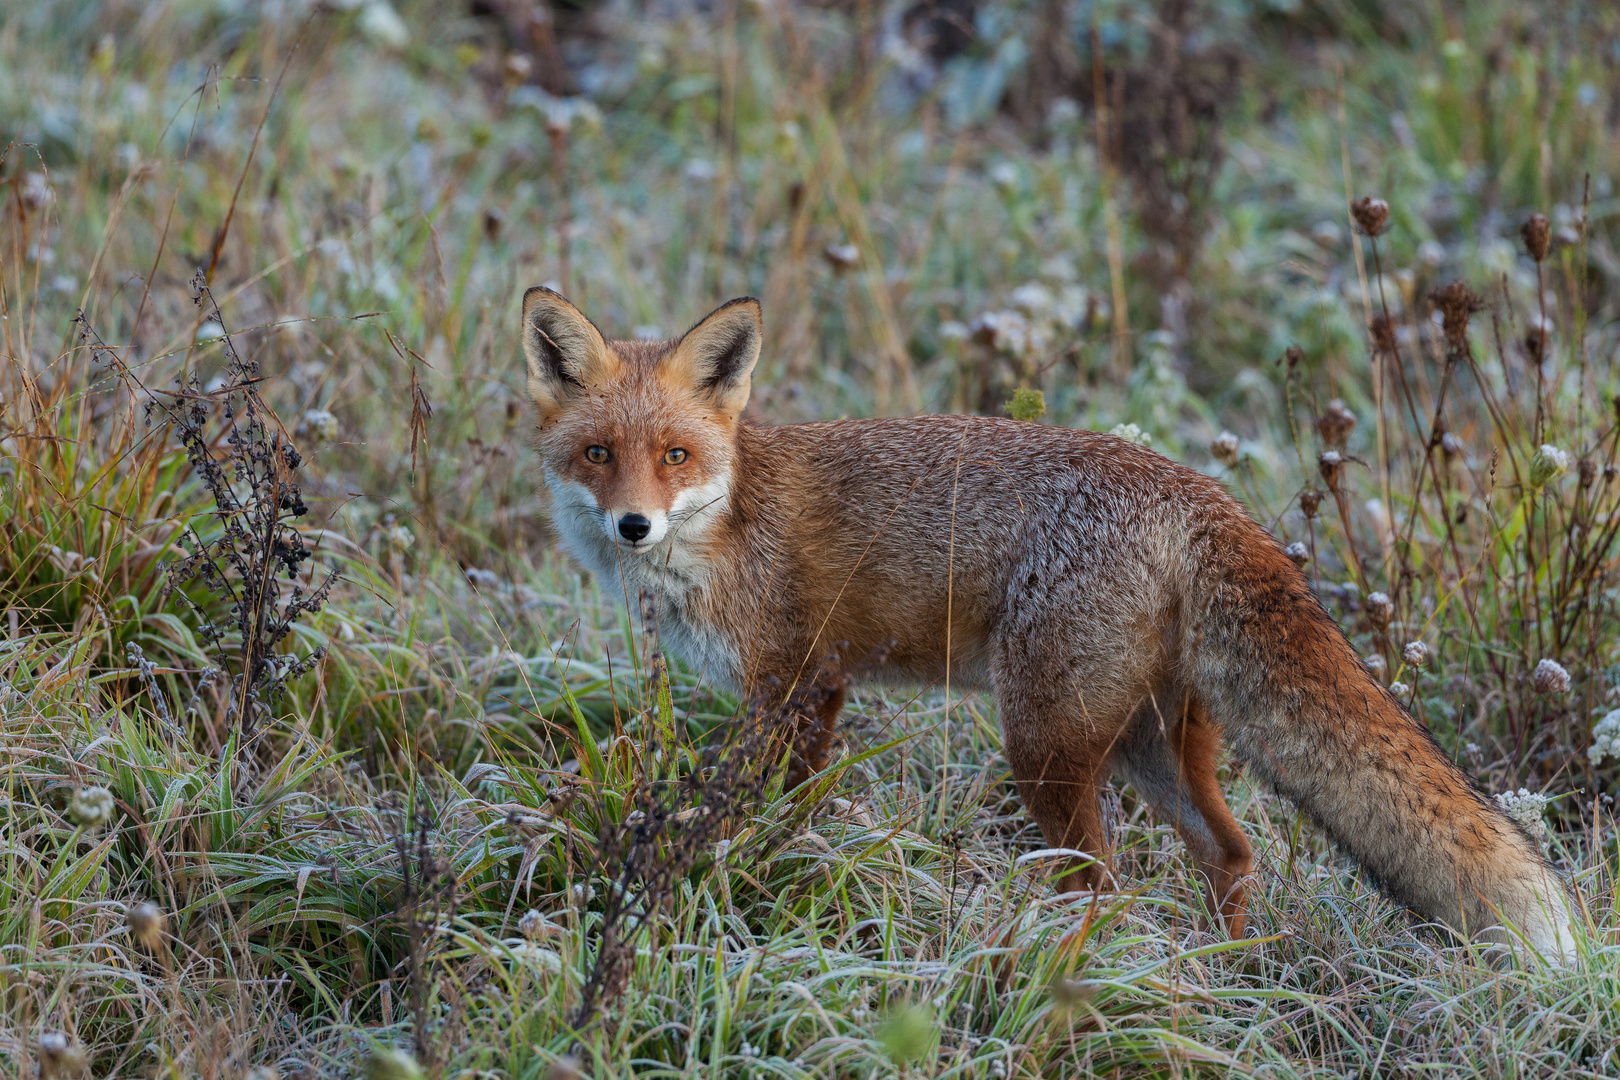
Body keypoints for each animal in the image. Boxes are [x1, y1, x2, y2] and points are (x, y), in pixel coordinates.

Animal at [521, 289, 1581, 965]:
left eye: (674, 454)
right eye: (599, 454)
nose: (633, 524)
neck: (731, 524)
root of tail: (1201, 493)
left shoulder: (800, 685)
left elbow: (775, 815)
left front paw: (770, 881)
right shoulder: (797, 694)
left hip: (1044, 745)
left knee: (1102, 883)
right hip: (1149, 741)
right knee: (1232, 850)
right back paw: (1228, 980)